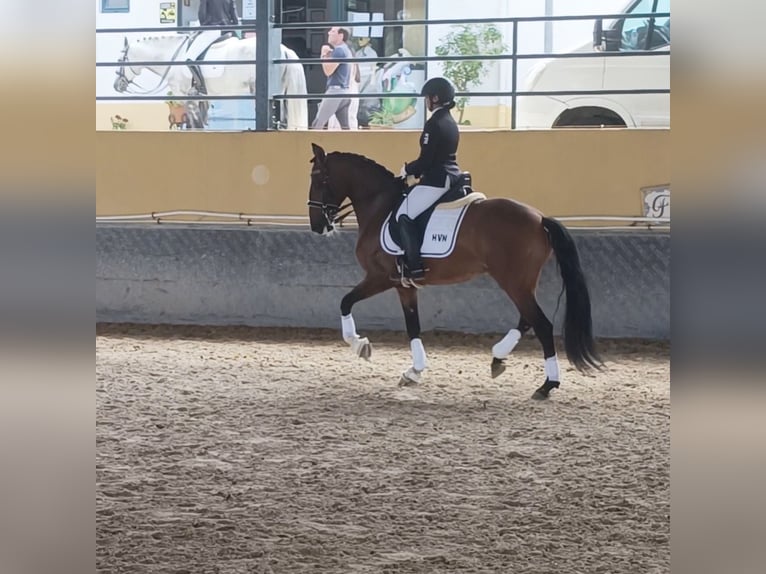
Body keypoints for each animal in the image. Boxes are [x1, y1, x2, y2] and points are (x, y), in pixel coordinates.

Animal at [113, 35, 308, 132]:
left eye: (120, 60)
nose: (116, 85)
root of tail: (283, 49)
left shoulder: (186, 97)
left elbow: (194, 124)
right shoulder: (200, 97)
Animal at [308, 143, 604, 400]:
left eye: (318, 179)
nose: (316, 226)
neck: (380, 206)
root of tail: (540, 218)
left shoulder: (379, 277)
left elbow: (345, 302)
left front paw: (361, 345)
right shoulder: (404, 285)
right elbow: (413, 326)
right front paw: (413, 372)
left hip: (513, 282)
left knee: (541, 324)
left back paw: (547, 385)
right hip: (523, 282)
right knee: (527, 320)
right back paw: (498, 357)